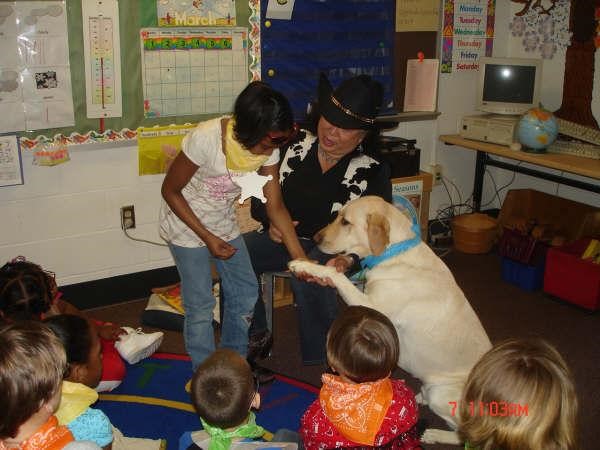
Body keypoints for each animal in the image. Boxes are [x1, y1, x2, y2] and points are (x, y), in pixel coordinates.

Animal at [290, 196, 492, 442]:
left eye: (346, 221)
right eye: (338, 216)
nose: (315, 238)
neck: (394, 253)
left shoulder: (371, 305)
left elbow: (336, 276)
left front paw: (304, 265)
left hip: (442, 394)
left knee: (465, 434)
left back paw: (433, 433)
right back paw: (416, 396)